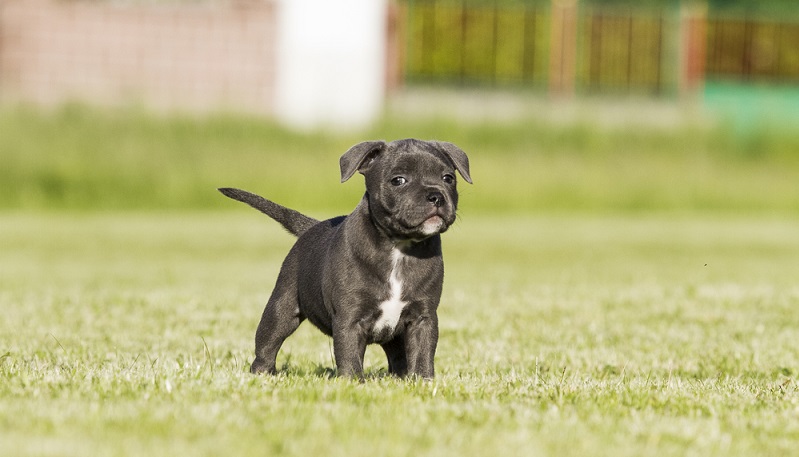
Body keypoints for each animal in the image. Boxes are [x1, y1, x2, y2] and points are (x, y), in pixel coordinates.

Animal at [220, 138, 468, 378]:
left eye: (448, 178)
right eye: (398, 180)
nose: (436, 196)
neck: (399, 246)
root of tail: (312, 227)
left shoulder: (423, 318)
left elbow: (422, 353)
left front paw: (422, 380)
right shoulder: (350, 318)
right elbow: (349, 355)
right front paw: (351, 382)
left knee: (397, 356)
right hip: (281, 308)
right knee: (268, 343)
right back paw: (262, 373)